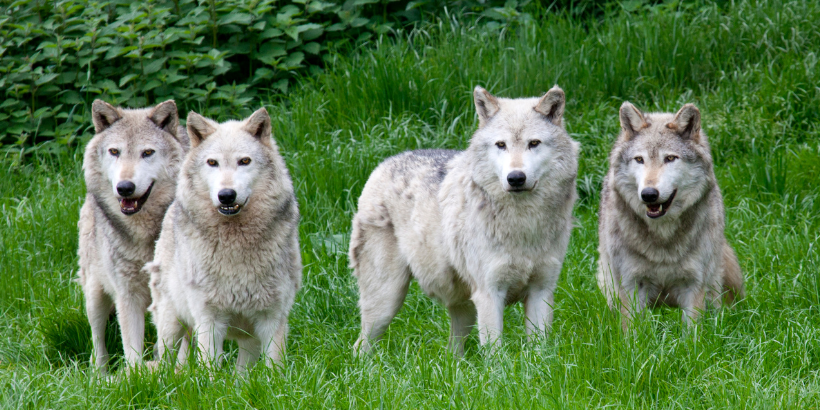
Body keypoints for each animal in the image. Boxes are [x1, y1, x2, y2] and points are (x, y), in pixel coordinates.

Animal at [77, 99, 188, 371]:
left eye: (147, 153)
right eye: (114, 151)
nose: (125, 187)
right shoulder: (127, 295)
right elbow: (131, 349)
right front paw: (137, 377)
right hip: (95, 294)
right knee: (97, 340)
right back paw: (100, 374)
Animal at [147, 108, 301, 372]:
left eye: (245, 161)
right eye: (212, 163)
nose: (226, 195)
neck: (235, 243)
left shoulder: (273, 318)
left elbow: (274, 370)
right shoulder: (209, 320)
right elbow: (209, 369)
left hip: (247, 339)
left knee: (242, 374)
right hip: (171, 324)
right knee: (165, 364)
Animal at [349, 86, 579, 355]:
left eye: (534, 143)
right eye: (501, 144)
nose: (515, 178)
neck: (524, 224)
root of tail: (385, 163)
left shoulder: (541, 292)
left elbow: (540, 352)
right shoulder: (490, 294)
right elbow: (495, 355)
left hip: (464, 309)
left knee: (452, 351)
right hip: (386, 302)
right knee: (359, 347)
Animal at [597, 102, 744, 331]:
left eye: (670, 158)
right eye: (639, 159)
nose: (649, 194)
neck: (663, 238)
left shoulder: (694, 284)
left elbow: (692, 333)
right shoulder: (631, 284)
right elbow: (633, 333)